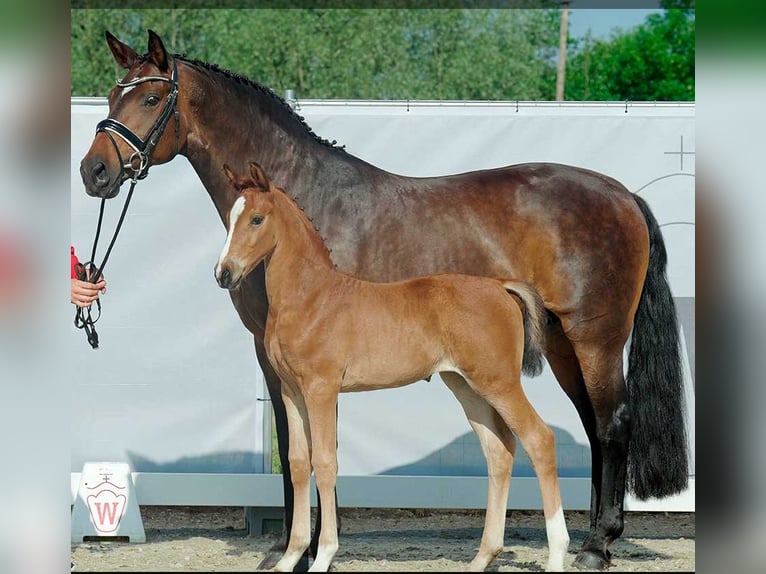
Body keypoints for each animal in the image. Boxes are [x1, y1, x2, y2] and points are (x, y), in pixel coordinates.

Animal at [216, 164, 568, 572]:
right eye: (230, 218)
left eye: (257, 219)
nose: (223, 274)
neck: (310, 297)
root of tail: (500, 286)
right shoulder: (291, 391)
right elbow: (299, 463)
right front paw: (289, 559)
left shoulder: (322, 389)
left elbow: (325, 462)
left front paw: (323, 556)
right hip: (465, 386)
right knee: (499, 451)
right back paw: (482, 557)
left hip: (499, 382)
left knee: (539, 439)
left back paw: (557, 555)